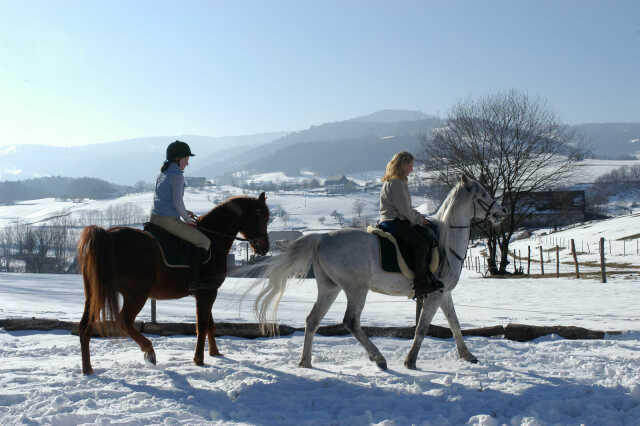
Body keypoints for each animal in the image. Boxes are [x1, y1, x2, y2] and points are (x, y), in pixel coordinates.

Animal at [76, 191, 268, 374]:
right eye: (260, 216)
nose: (265, 248)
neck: (214, 240)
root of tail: (108, 236)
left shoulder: (205, 293)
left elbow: (209, 324)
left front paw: (215, 353)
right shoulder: (207, 293)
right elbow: (202, 325)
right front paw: (199, 359)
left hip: (95, 293)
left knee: (85, 326)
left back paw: (88, 369)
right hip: (136, 295)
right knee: (124, 322)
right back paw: (149, 351)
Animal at [254, 175, 504, 372]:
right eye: (483, 194)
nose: (501, 213)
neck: (446, 242)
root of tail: (322, 238)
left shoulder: (444, 294)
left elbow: (455, 323)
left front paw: (467, 356)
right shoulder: (434, 295)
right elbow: (422, 328)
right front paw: (410, 361)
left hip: (330, 288)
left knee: (313, 320)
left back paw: (306, 362)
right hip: (356, 289)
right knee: (351, 321)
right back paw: (379, 359)